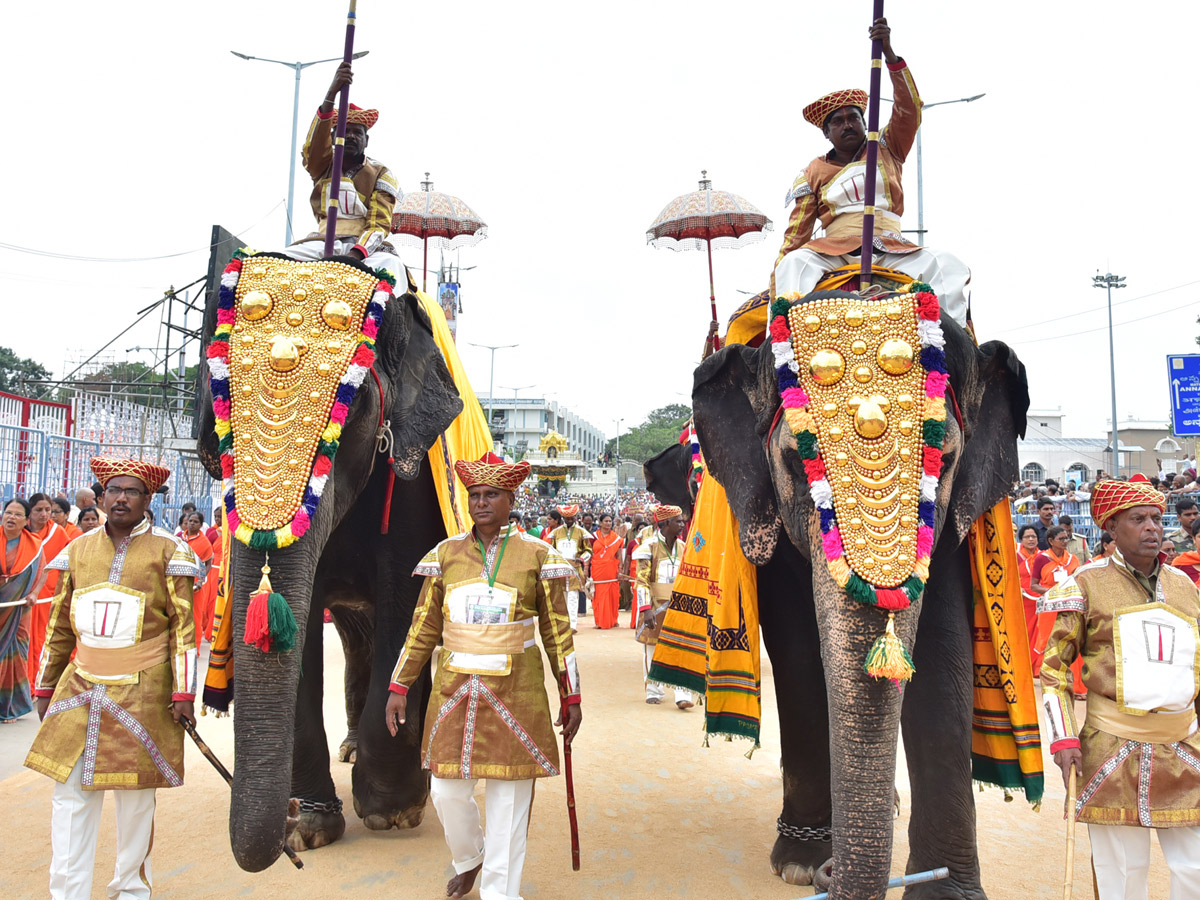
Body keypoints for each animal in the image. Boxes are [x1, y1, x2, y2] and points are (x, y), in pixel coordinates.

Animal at [194, 250, 460, 868]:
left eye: (353, 403)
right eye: (216, 399)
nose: (287, 822)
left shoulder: (413, 485)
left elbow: (405, 600)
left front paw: (393, 813)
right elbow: (298, 619)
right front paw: (309, 830)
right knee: (356, 636)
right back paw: (349, 750)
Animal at [691, 289, 1027, 900]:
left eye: (942, 459)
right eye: (797, 461)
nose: (830, 876)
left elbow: (941, 653)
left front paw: (946, 892)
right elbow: (800, 654)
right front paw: (801, 864)